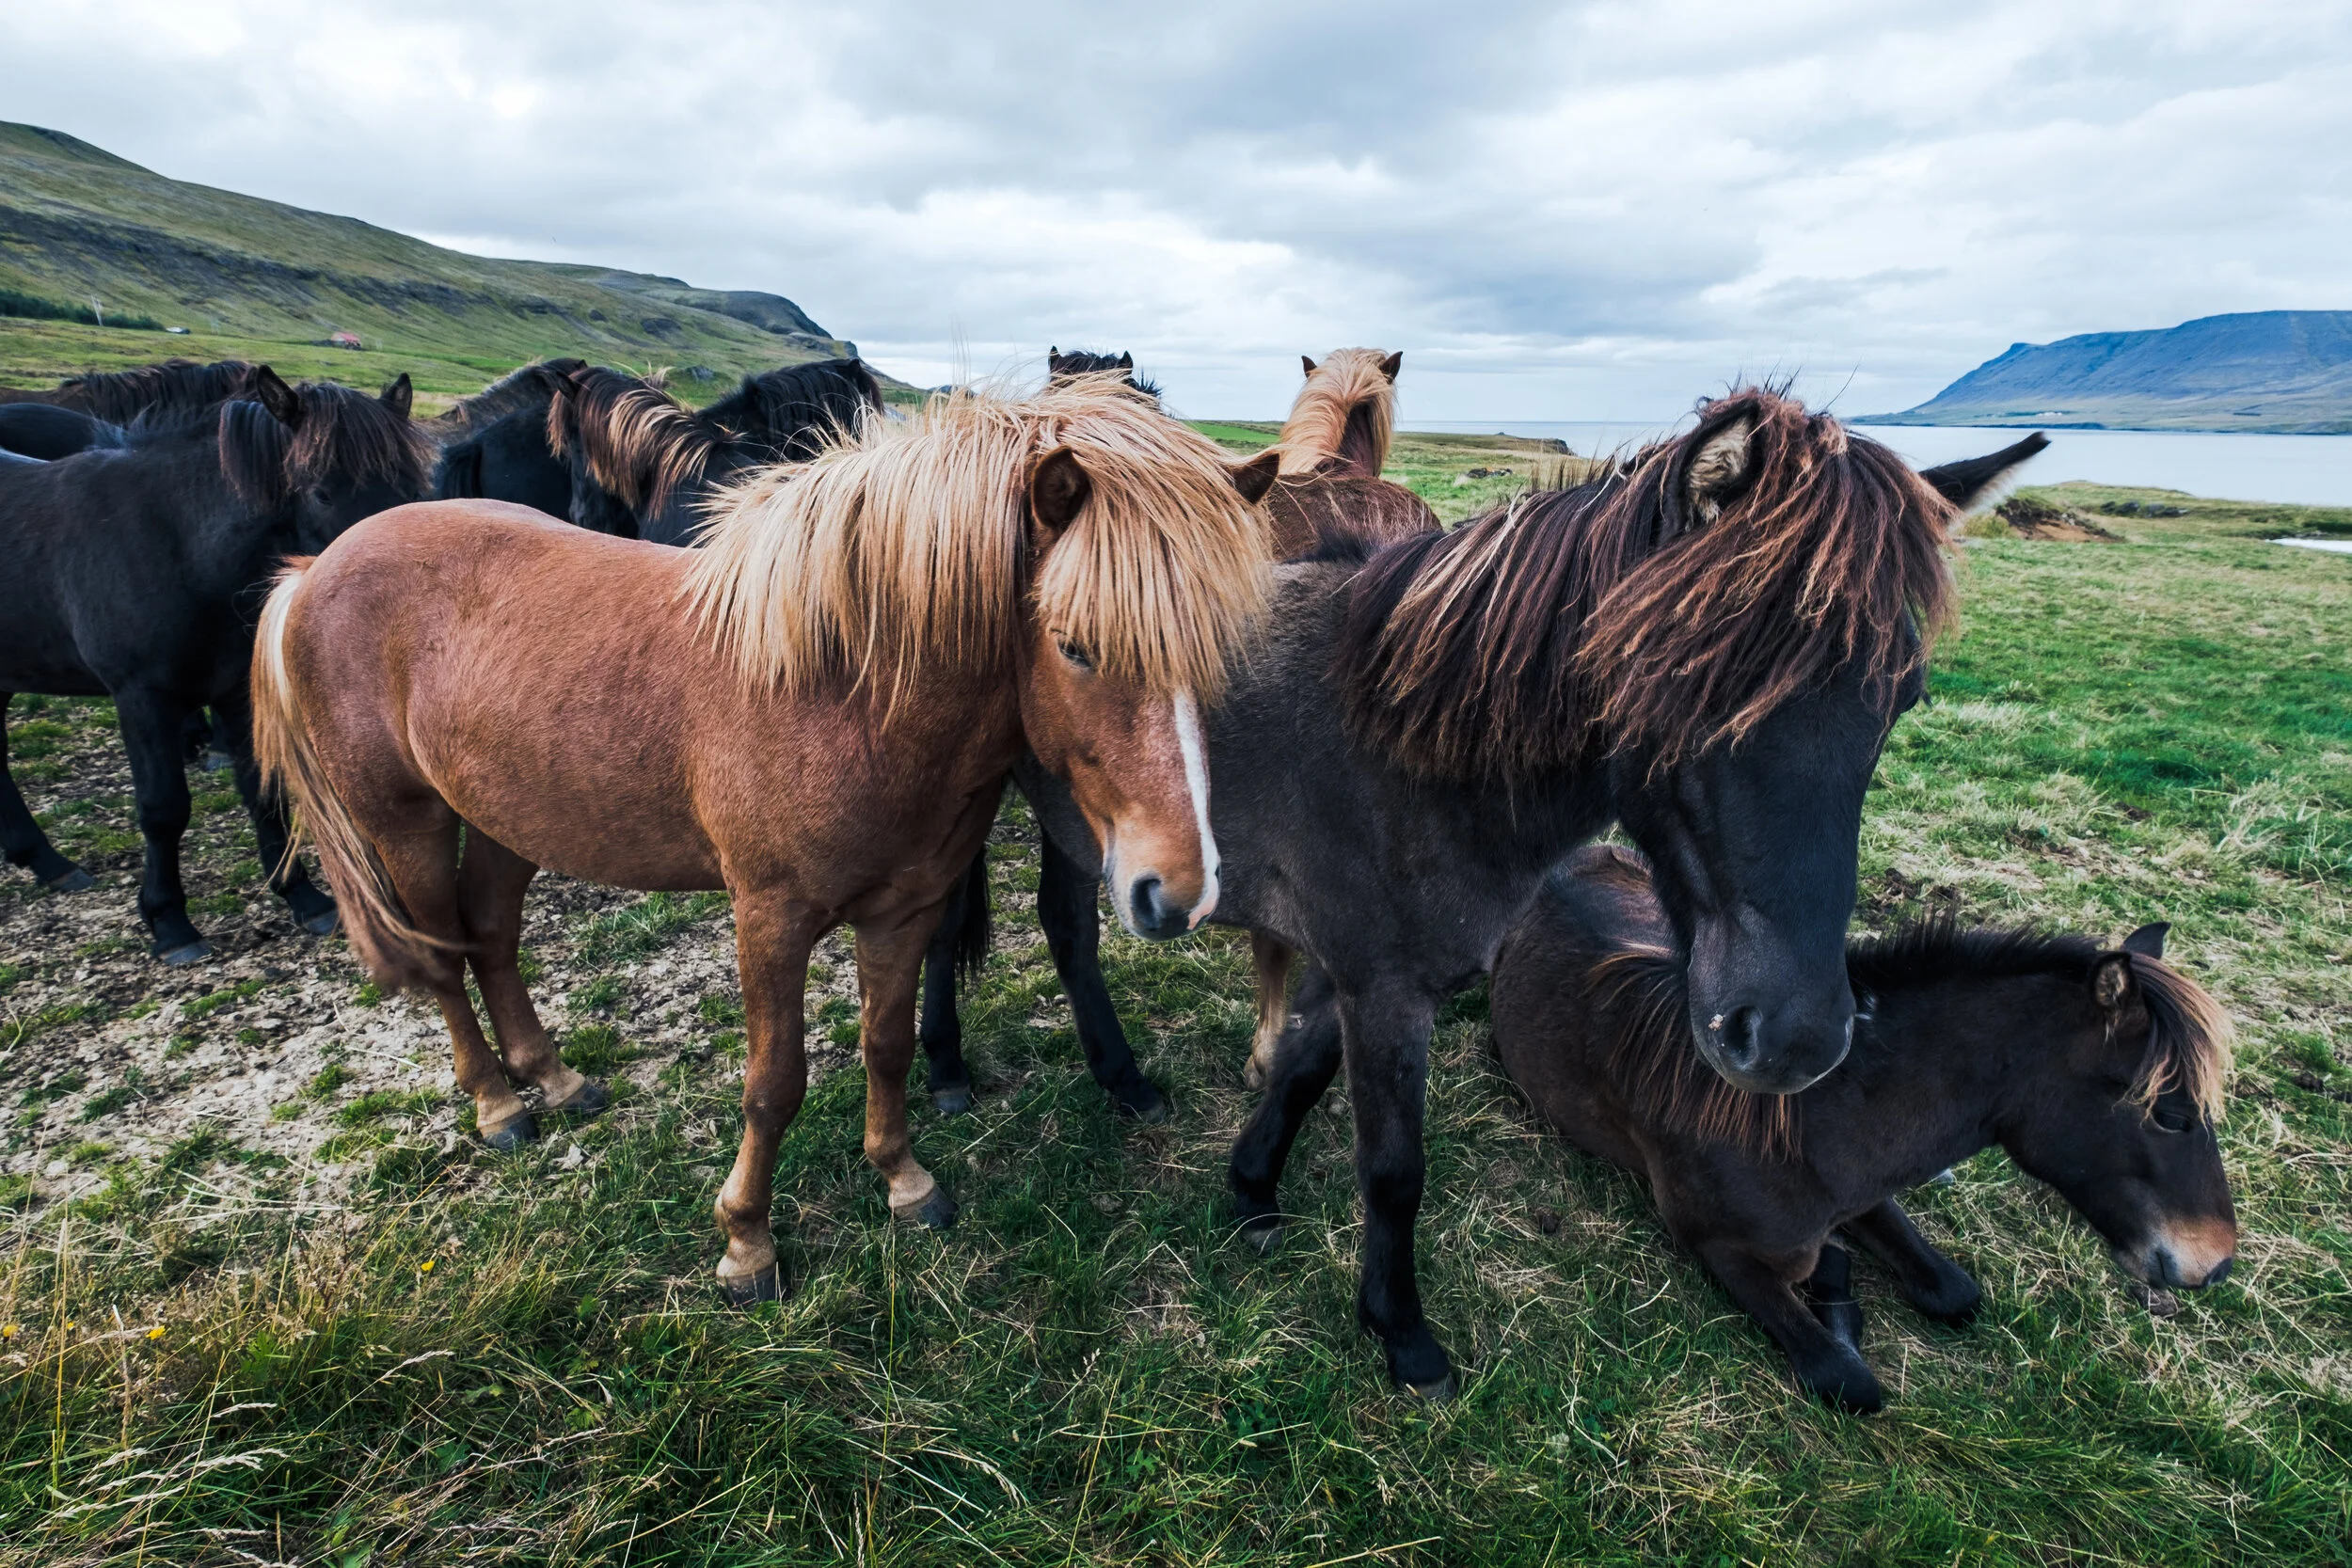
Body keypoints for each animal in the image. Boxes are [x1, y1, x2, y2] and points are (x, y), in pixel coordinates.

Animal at [0, 368, 433, 961]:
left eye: (412, 490)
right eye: (322, 492)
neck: (177, 544)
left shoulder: (233, 692)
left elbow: (263, 792)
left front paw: (303, 897)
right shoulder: (143, 697)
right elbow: (163, 809)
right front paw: (170, 922)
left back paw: (46, 861)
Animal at [251, 377, 1282, 1303]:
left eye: (1221, 649)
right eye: (1073, 645)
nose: (1177, 890)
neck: (841, 690)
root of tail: (313, 569)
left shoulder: (905, 908)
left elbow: (886, 1045)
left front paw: (904, 1183)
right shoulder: (770, 920)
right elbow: (772, 1084)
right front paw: (747, 1243)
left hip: (508, 817)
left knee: (493, 938)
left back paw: (556, 1078)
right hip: (408, 821)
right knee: (442, 958)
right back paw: (500, 1104)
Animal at [1016, 401, 2050, 1396]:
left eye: (1904, 697)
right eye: (1684, 680)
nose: (1796, 1039)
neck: (1395, 747)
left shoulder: (1354, 965)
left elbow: (1301, 1071)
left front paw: (1254, 1191)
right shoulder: (1386, 989)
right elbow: (1393, 1167)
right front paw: (1403, 1334)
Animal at [1490, 844, 2237, 1412]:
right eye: (2172, 1114)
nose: (2217, 1262)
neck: (1805, 1122)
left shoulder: (1867, 1193)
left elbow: (1956, 1292)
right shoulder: (1718, 1248)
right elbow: (1848, 1380)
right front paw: (1835, 1290)